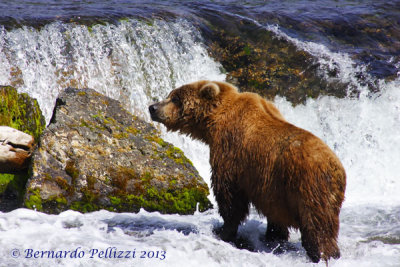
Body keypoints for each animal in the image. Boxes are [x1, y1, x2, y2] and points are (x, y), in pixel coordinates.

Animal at [148, 80, 346, 264]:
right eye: (170, 94)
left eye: (175, 98)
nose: (152, 107)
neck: (214, 122)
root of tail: (336, 169)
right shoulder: (271, 188)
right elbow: (274, 215)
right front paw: (274, 236)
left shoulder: (231, 153)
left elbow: (230, 196)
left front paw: (222, 230)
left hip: (308, 187)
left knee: (316, 226)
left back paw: (323, 254)